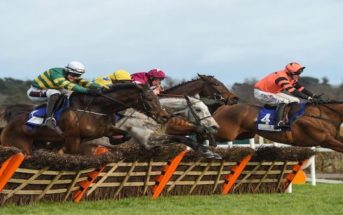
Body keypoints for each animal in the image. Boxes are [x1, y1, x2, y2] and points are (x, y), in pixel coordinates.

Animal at [0, 83, 171, 155]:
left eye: (157, 97)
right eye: (149, 98)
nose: (164, 116)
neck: (97, 109)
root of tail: (8, 126)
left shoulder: (105, 130)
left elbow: (125, 134)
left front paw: (116, 140)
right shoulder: (73, 138)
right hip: (19, 145)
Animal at [212, 101, 343, 153]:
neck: (321, 116)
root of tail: (222, 107)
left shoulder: (334, 138)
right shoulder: (325, 140)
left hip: (244, 134)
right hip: (225, 133)